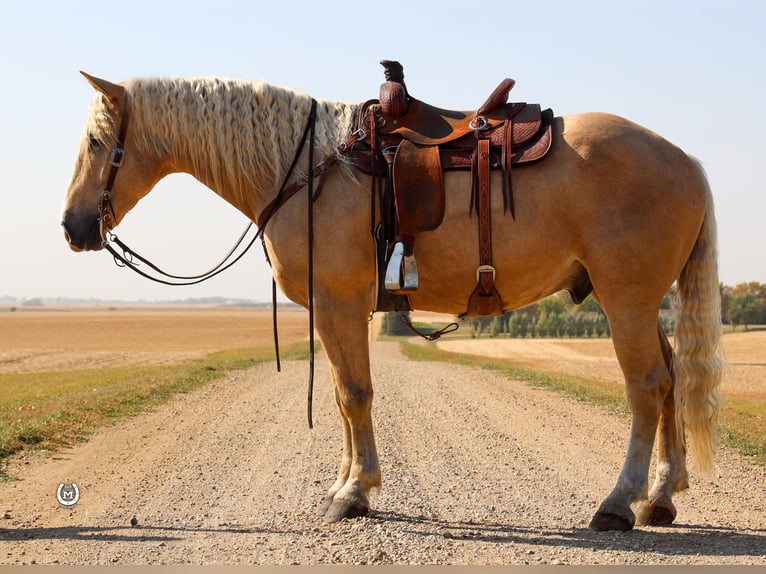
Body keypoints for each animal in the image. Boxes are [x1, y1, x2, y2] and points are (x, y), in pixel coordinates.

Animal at [61, 71, 722, 532]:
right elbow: (340, 395)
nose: (72, 226)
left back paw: (619, 503)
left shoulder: (339, 303)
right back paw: (661, 497)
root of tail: (686, 160)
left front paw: (355, 493)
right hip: (643, 303)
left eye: (95, 140)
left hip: (625, 300)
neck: (308, 169)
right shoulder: (336, 311)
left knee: (646, 386)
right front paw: (344, 483)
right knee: (669, 380)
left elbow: (355, 394)